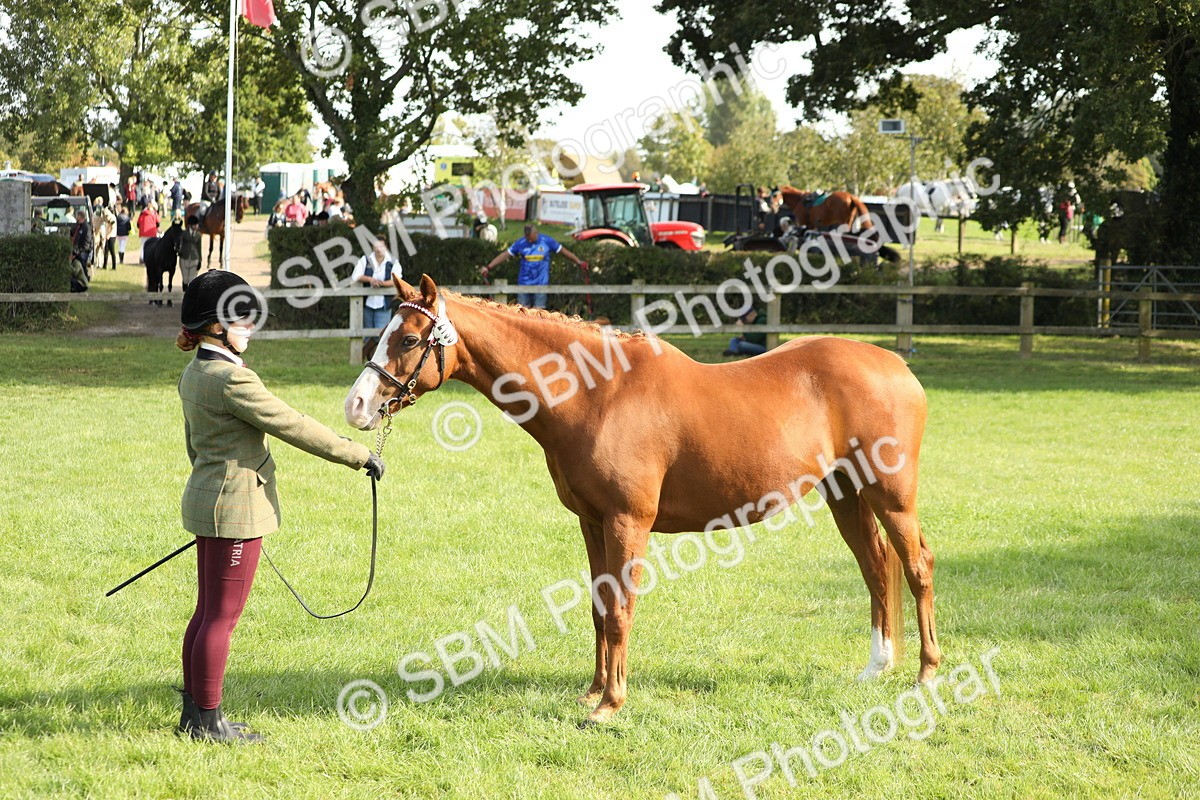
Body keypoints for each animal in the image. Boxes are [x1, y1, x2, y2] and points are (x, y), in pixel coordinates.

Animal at [343, 275, 942, 725]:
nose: (356, 406)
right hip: (847, 495)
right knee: (875, 568)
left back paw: (926, 674)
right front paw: (592, 692)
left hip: (891, 496)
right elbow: (598, 606)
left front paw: (609, 705)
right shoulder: (592, 523)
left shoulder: (628, 523)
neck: (598, 395)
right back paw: (876, 667)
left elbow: (621, 611)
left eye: (408, 340)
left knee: (916, 566)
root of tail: (898, 367)